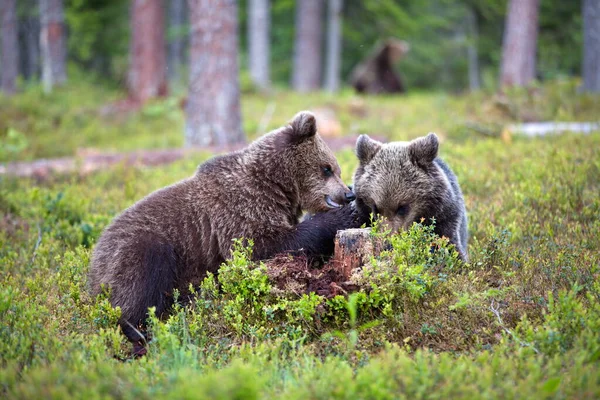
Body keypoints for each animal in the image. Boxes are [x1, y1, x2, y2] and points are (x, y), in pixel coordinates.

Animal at [89, 111, 368, 352]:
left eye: (336, 169)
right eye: (326, 168)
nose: (347, 194)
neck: (276, 185)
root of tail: (92, 265)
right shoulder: (239, 210)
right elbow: (263, 246)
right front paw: (345, 215)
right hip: (137, 249)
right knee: (139, 282)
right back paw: (138, 331)